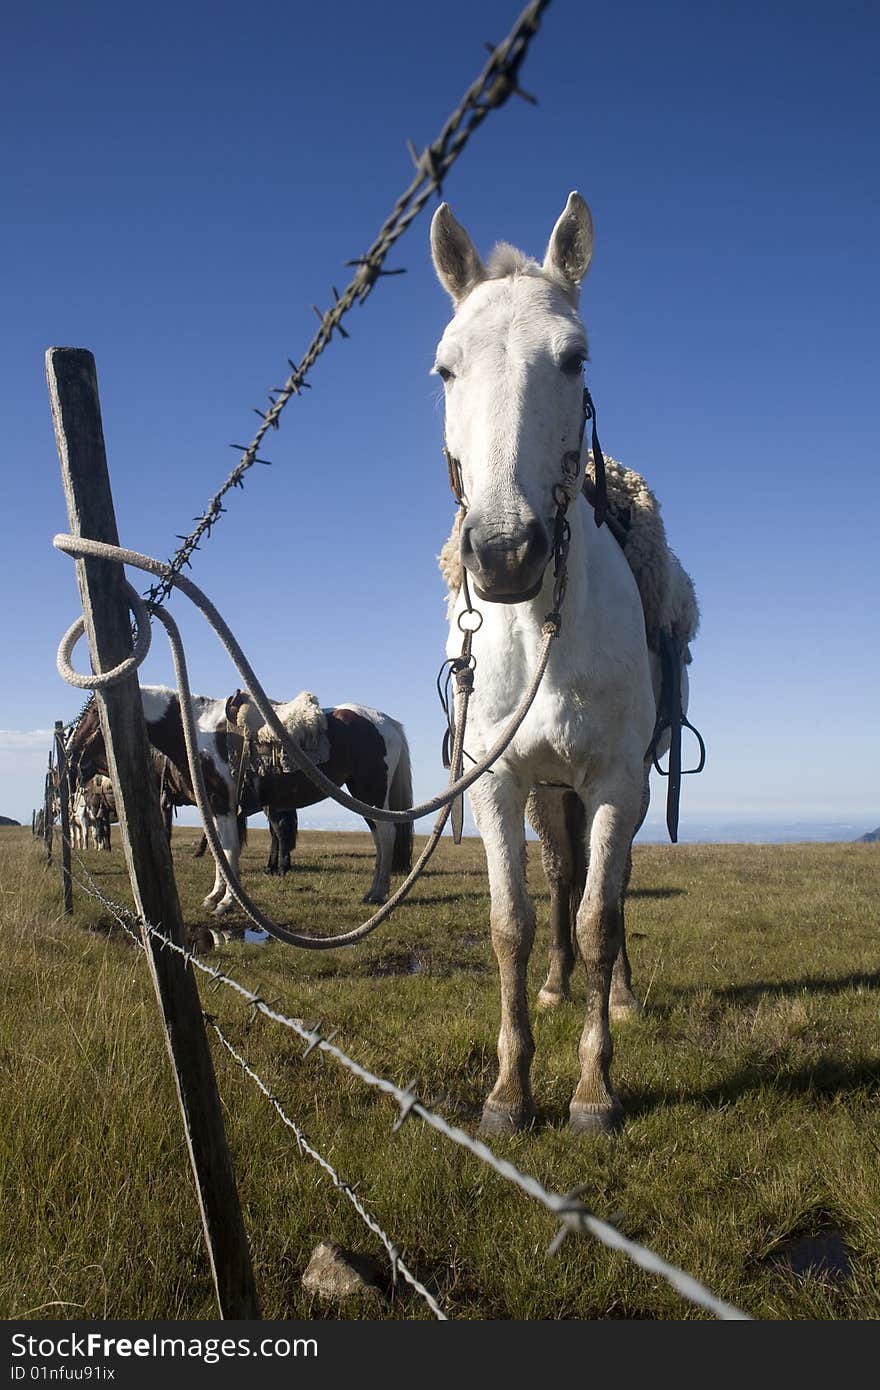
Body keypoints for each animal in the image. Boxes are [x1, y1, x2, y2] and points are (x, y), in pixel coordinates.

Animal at [428, 193, 697, 1128]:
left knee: (597, 889)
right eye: (446, 370)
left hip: (623, 784)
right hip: (551, 790)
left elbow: (600, 918)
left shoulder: (617, 779)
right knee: (559, 876)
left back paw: (616, 995)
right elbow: (512, 920)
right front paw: (510, 1088)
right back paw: (554, 987)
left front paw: (592, 1088)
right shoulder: (501, 784)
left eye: (574, 358)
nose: (507, 552)